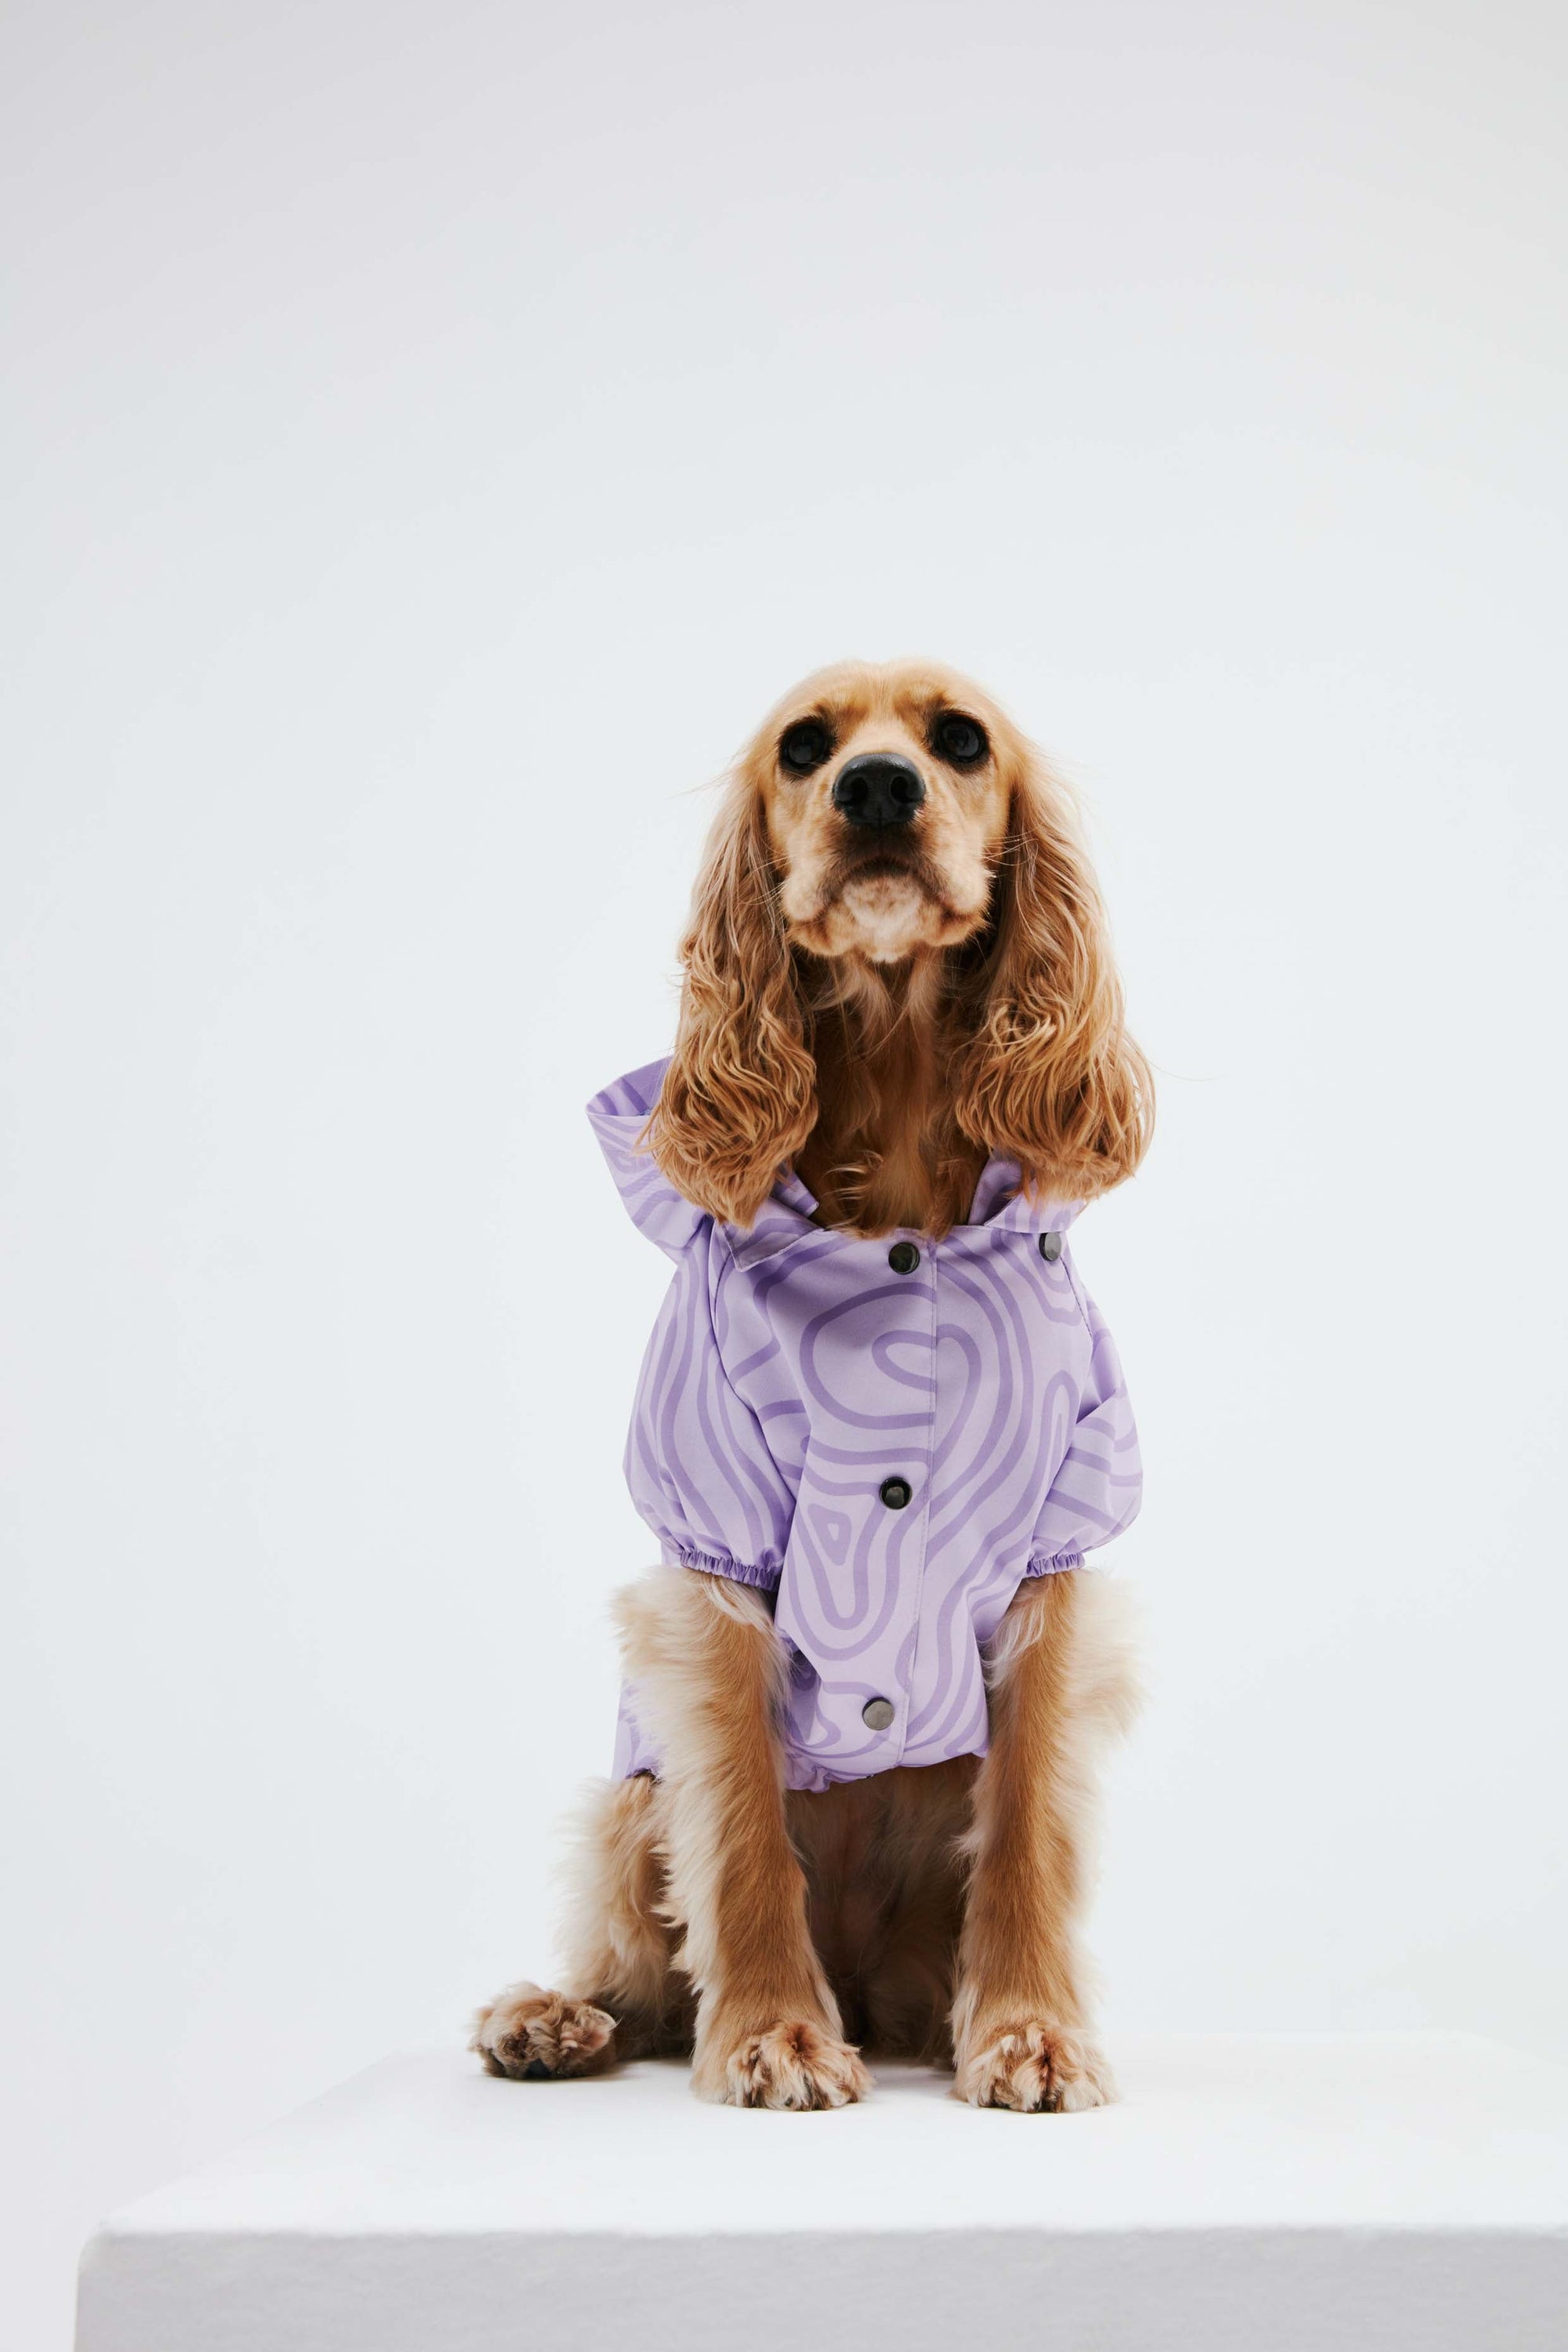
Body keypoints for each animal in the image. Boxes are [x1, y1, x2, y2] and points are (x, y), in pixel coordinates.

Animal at [472, 659, 1150, 2111]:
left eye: (960, 740)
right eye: (802, 747)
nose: (878, 787)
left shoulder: (1057, 1557)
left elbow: (1027, 1835)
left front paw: (1030, 2031)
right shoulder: (710, 1551)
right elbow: (738, 1832)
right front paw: (773, 2033)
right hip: (629, 1792)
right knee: (641, 1958)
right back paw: (558, 2017)